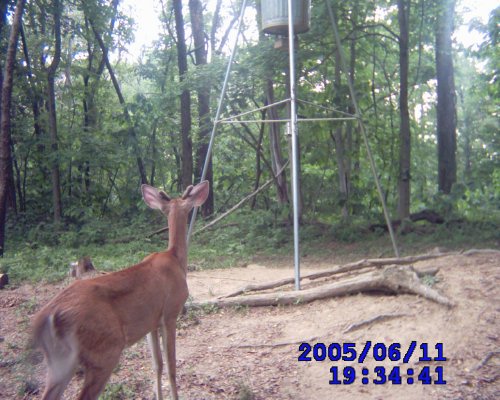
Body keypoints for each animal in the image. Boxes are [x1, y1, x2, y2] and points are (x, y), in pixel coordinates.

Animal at [32, 182, 209, 400]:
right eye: (189, 209)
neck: (175, 260)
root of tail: (48, 316)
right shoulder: (170, 313)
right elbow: (171, 368)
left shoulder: (151, 323)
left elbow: (157, 365)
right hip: (105, 351)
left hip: (58, 360)